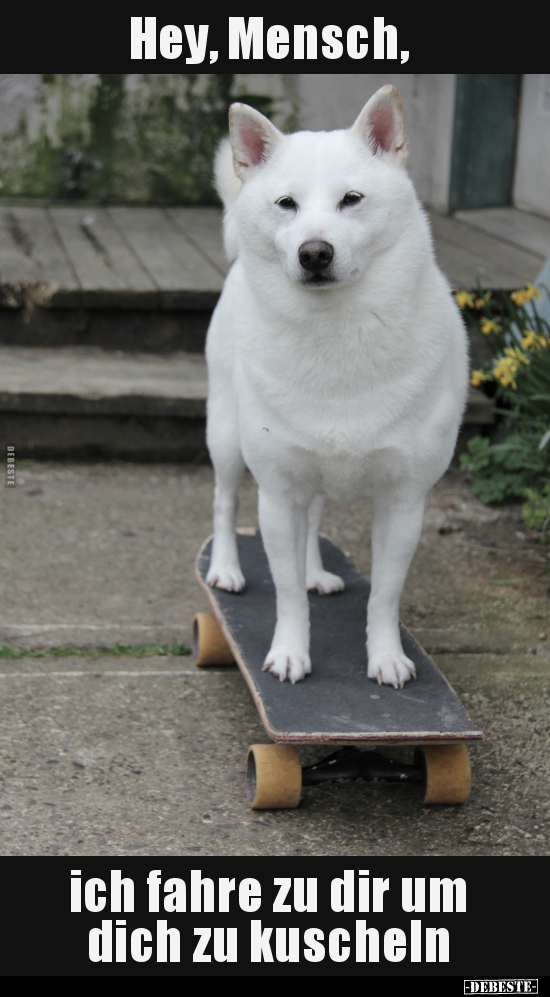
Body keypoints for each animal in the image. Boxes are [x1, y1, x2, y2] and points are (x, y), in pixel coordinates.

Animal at [205, 85, 468, 688]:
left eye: (352, 199)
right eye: (286, 204)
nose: (314, 252)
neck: (338, 333)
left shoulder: (403, 503)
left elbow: (384, 597)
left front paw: (386, 657)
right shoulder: (277, 493)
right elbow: (284, 596)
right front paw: (289, 653)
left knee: (315, 520)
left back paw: (315, 572)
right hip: (227, 437)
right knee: (225, 500)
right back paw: (226, 568)